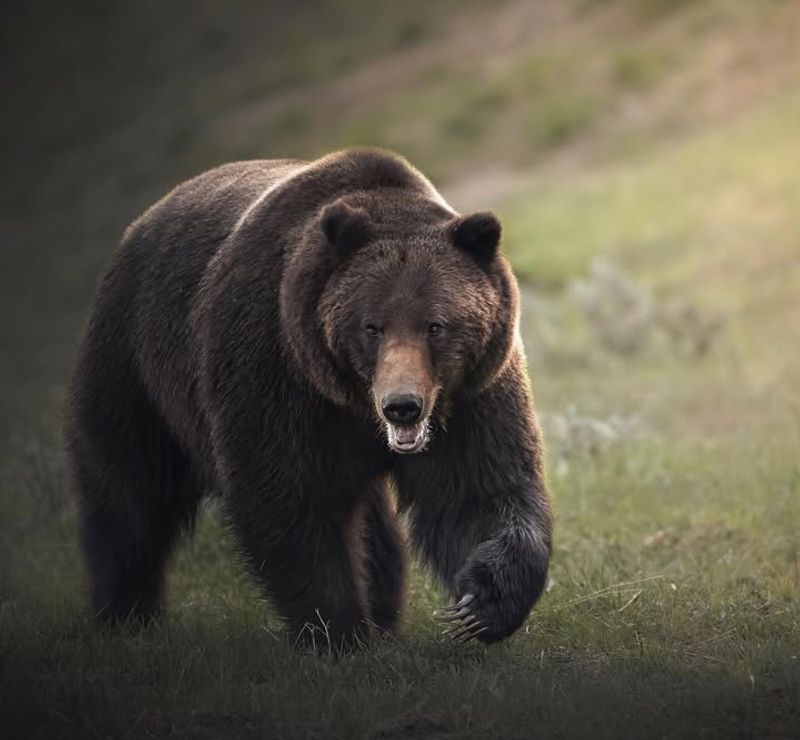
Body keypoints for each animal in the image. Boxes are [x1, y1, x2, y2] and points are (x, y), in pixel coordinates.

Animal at [65, 147, 552, 652]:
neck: (353, 401)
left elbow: (477, 490)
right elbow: (287, 497)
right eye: (371, 326)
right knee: (128, 489)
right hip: (136, 361)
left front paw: (482, 604)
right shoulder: (275, 371)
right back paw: (125, 611)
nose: (402, 405)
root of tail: (143, 221)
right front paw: (337, 630)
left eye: (435, 325)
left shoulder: (470, 394)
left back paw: (384, 611)